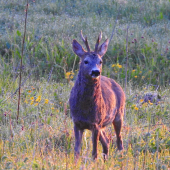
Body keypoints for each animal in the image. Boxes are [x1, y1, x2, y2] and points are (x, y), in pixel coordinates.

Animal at [68, 30, 125, 161]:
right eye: (85, 61)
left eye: (101, 61)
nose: (96, 72)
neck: (85, 109)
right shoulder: (77, 122)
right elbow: (76, 151)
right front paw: (75, 162)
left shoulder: (96, 123)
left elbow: (94, 152)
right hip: (102, 124)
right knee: (107, 142)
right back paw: (106, 160)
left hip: (118, 114)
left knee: (119, 141)